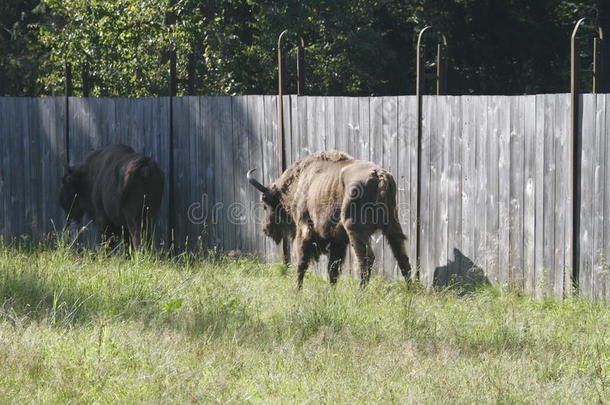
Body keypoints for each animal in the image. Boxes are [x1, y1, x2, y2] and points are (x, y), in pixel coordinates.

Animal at [246, 151, 408, 288]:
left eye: (265, 205)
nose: (265, 229)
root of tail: (379, 176)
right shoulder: (338, 240)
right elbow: (332, 269)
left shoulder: (304, 230)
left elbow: (301, 262)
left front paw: (297, 290)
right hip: (392, 226)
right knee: (402, 258)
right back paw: (410, 290)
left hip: (355, 231)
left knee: (366, 259)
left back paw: (360, 293)